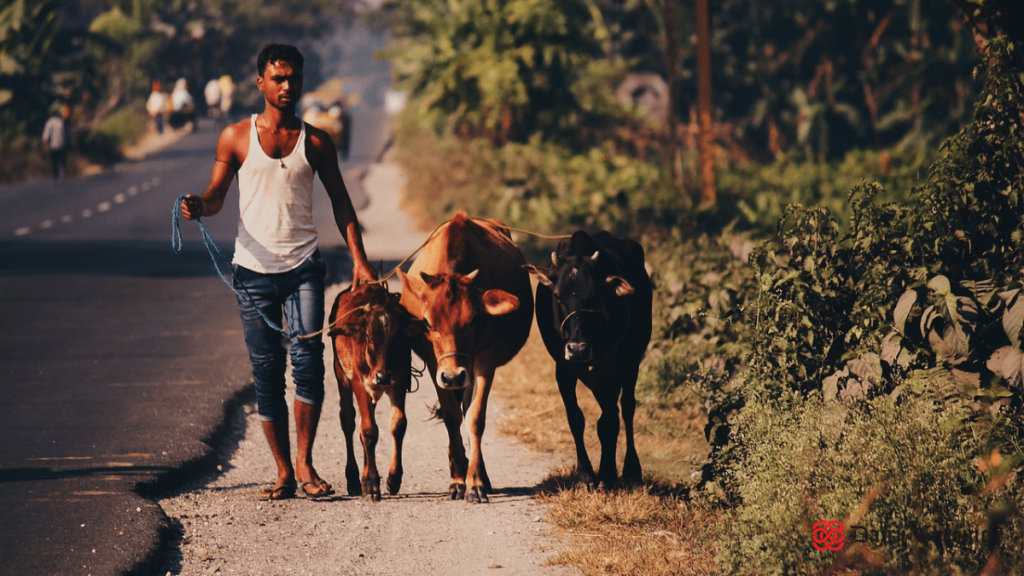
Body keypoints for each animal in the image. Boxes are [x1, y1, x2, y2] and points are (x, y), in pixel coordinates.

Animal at [325, 280, 409, 498]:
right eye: (369, 337)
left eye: (398, 338)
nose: (382, 377)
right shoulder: (359, 384)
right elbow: (369, 431)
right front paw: (371, 483)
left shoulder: (399, 382)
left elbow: (398, 425)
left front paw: (393, 478)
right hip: (342, 376)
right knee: (349, 421)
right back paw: (354, 478)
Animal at [395, 212, 532, 502]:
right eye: (427, 322)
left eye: (473, 319)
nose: (452, 375)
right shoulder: (435, 363)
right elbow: (451, 417)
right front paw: (458, 479)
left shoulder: (484, 362)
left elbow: (474, 417)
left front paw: (475, 482)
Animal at [524, 228, 651, 483]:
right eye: (557, 296)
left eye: (594, 296)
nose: (578, 349)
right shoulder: (563, 369)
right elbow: (576, 418)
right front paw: (586, 473)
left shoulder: (614, 368)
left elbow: (609, 420)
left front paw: (608, 472)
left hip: (633, 361)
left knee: (627, 407)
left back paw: (631, 468)